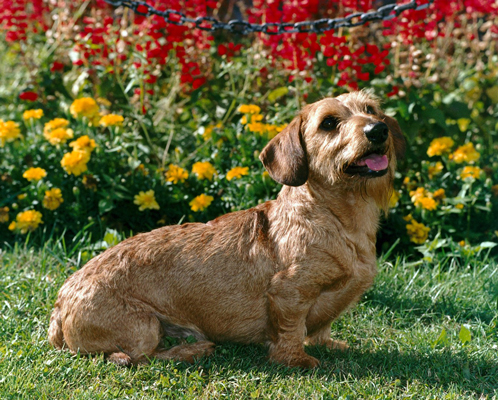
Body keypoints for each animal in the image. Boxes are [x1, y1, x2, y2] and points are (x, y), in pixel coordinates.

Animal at [47, 92, 404, 368]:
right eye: (329, 123)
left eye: (370, 109)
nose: (378, 130)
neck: (337, 218)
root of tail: (59, 306)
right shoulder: (289, 293)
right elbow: (291, 331)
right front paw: (297, 360)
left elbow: (321, 328)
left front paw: (329, 344)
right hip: (144, 325)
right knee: (136, 358)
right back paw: (194, 349)